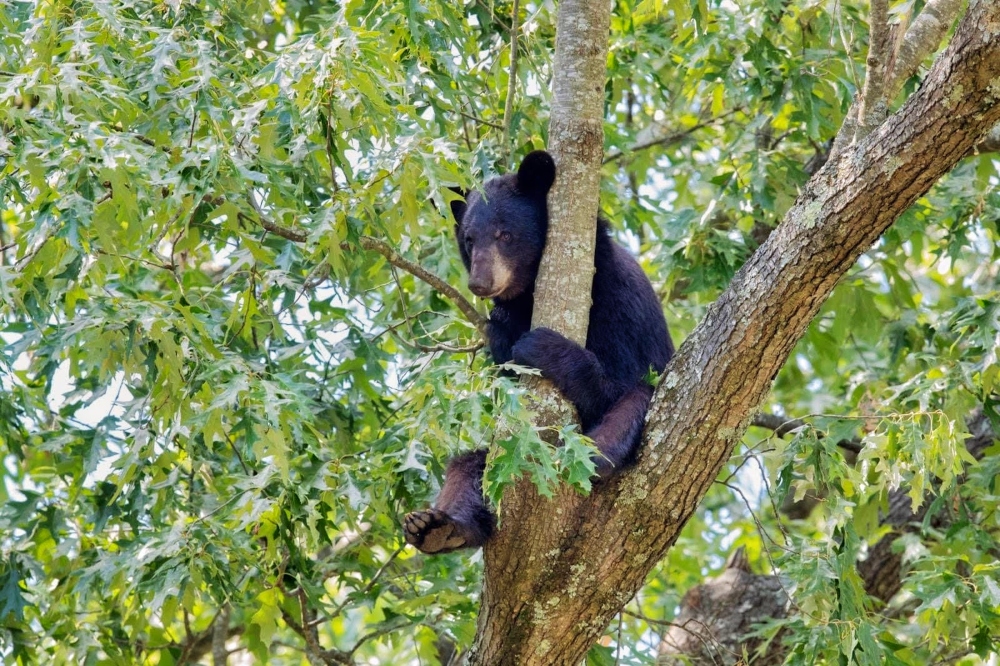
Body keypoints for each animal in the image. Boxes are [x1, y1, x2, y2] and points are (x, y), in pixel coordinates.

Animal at [403, 150, 674, 554]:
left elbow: (620, 379)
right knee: (468, 466)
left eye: (505, 234)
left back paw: (594, 455)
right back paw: (437, 527)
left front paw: (541, 345)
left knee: (634, 401)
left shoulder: (618, 301)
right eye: (469, 239)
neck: (529, 293)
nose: (480, 282)